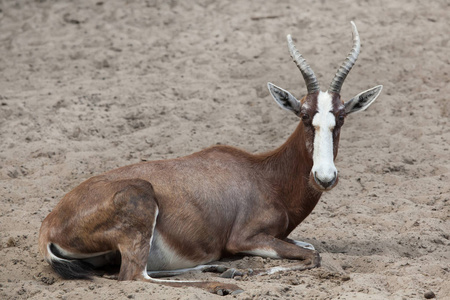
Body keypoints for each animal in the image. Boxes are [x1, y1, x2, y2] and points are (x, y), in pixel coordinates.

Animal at [39, 21, 384, 296]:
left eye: (341, 117)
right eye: (303, 115)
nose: (324, 177)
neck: (263, 174)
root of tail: (49, 224)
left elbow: (310, 248)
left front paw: (236, 268)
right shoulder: (244, 238)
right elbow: (313, 256)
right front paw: (246, 270)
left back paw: (220, 269)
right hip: (140, 205)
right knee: (133, 276)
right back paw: (224, 282)